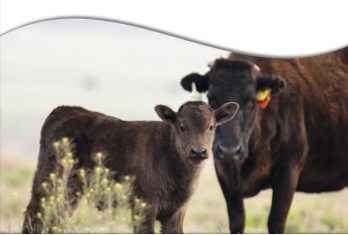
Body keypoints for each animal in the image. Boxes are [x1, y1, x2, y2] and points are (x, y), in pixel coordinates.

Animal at [22, 100, 239, 233]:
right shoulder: (144, 207)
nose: (198, 151)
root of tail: (63, 110)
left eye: (211, 127)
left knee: (57, 219)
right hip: (47, 183)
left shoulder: (176, 213)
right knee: (34, 215)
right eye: (182, 127)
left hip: (70, 194)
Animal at [181, 47, 348, 233]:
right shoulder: (224, 175)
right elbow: (237, 222)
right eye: (211, 97)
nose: (229, 150)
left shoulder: (289, 171)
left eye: (252, 100)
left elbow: (276, 221)